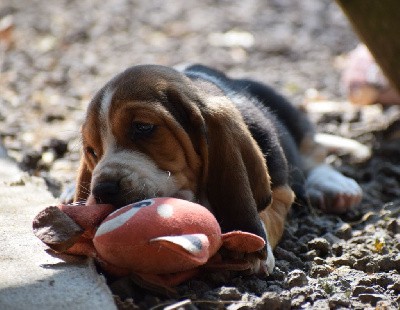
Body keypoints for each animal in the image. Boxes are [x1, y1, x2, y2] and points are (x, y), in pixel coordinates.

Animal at [72, 64, 362, 274]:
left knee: (312, 148)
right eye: (92, 151)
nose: (102, 190)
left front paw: (252, 246)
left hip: (286, 109)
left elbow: (266, 215)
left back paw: (335, 186)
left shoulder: (280, 194)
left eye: (143, 127)